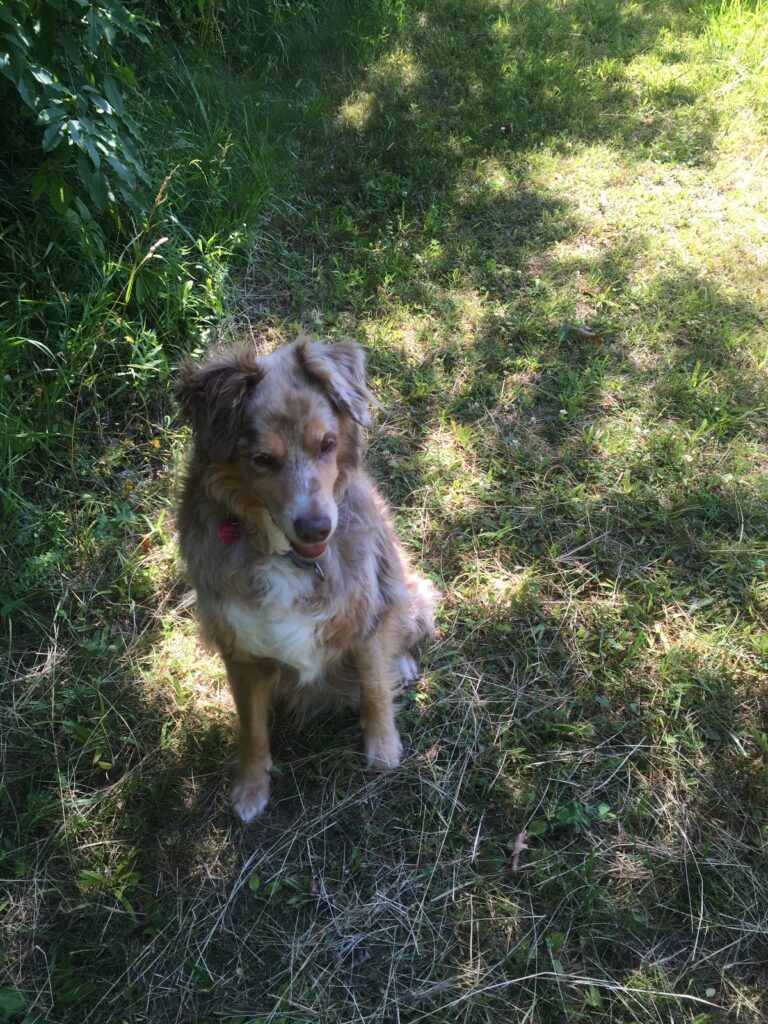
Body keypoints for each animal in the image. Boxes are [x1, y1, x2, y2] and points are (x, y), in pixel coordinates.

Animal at [174, 339, 438, 819]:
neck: (289, 558)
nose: (317, 529)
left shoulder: (365, 616)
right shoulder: (240, 649)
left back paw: (405, 664)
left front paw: (383, 750)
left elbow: (375, 687)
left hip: (405, 592)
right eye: (261, 460)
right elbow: (251, 728)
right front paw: (251, 788)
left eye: (328, 444)